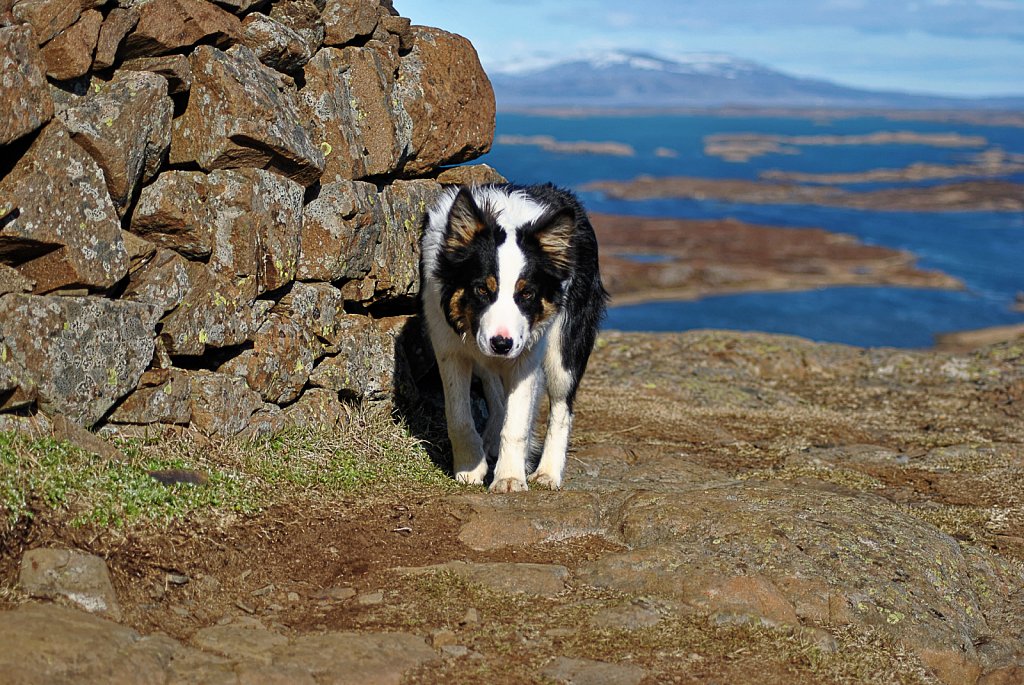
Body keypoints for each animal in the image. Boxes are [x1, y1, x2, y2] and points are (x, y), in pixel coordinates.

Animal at [421, 181, 606, 491]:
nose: (502, 344)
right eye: (482, 289)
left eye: (527, 293)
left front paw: (509, 477)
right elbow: (459, 417)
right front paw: (471, 467)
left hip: (564, 348)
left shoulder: (527, 354)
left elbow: (517, 422)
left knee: (561, 407)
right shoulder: (448, 346)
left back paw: (548, 472)